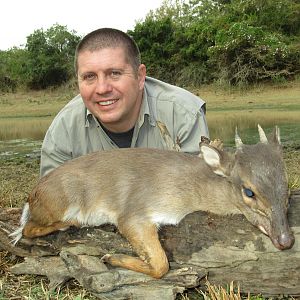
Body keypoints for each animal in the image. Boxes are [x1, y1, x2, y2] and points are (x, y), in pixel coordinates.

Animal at [11, 125, 292, 278]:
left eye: (287, 187)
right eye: (249, 191)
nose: (286, 240)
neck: (190, 187)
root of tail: (32, 196)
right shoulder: (133, 212)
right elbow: (160, 264)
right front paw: (110, 257)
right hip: (58, 202)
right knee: (26, 229)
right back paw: (69, 223)